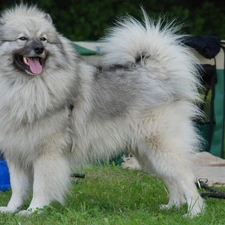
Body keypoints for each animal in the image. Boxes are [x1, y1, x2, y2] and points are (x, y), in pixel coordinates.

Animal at [0, 4, 205, 216]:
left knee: (187, 180)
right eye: (22, 38)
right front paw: (11, 209)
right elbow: (18, 187)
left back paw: (194, 213)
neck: (23, 86)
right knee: (172, 180)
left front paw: (33, 211)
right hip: (148, 155)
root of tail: (156, 71)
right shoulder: (15, 154)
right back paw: (172, 205)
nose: (39, 49)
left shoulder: (47, 154)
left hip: (162, 148)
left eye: (43, 39)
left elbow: (41, 187)